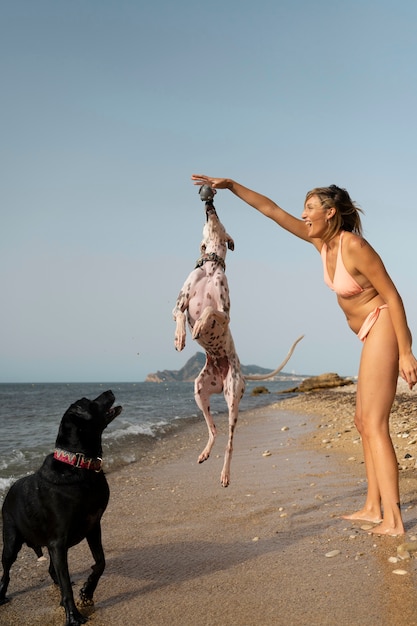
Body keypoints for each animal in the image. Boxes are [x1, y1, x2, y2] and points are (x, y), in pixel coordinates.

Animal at [0, 388, 121, 624]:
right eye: (89, 402)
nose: (110, 390)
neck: (79, 465)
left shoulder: (93, 526)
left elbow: (101, 562)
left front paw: (87, 591)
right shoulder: (58, 541)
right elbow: (67, 586)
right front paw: (73, 615)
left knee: (50, 569)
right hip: (11, 541)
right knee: (6, 572)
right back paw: (1, 596)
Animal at [172, 185, 302, 488]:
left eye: (218, 218)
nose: (209, 204)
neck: (210, 266)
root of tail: (230, 375)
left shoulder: (224, 312)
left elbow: (210, 310)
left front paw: (198, 326)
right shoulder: (178, 301)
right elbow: (179, 313)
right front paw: (180, 336)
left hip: (233, 400)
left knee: (230, 442)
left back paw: (225, 473)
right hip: (199, 390)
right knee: (214, 430)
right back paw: (206, 452)